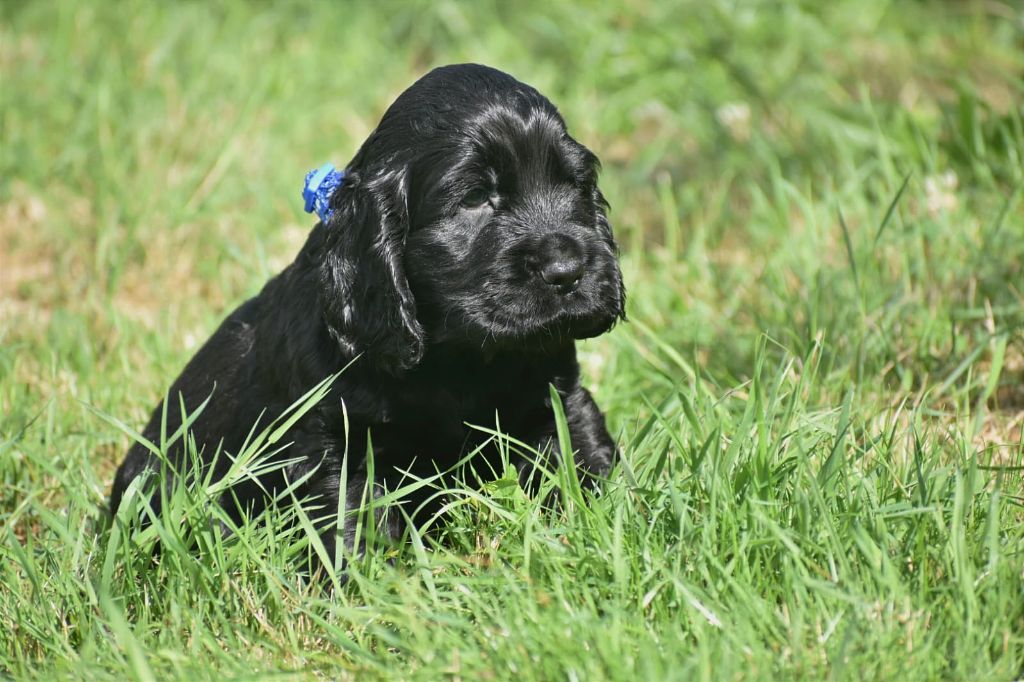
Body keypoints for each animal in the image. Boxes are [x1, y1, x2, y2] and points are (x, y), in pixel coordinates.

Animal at [112, 63, 622, 561]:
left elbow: (581, 456)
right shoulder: (337, 442)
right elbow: (354, 522)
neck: (457, 359)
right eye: (475, 198)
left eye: (576, 186)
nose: (567, 271)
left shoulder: (558, 397)